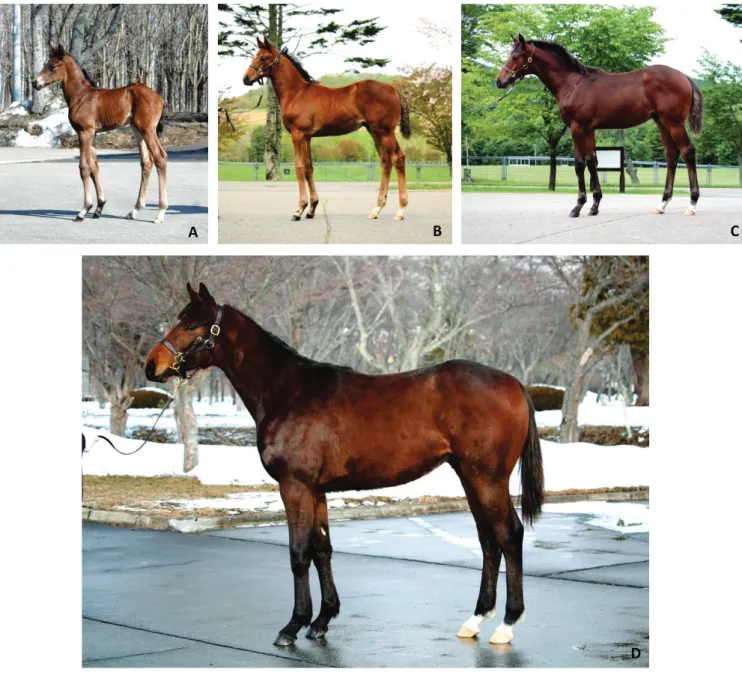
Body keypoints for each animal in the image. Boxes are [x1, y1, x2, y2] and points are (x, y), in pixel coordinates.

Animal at [32, 43, 168, 223]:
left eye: (52, 66)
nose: (35, 82)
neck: (81, 95)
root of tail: (159, 98)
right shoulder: (93, 134)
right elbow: (94, 167)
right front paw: (99, 207)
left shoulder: (84, 132)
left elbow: (84, 167)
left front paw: (84, 210)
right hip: (137, 130)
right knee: (146, 162)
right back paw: (134, 210)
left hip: (148, 129)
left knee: (160, 157)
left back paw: (160, 212)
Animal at [145, 282, 545, 647]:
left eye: (191, 325)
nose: (151, 366)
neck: (287, 391)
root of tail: (514, 383)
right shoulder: (316, 490)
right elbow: (322, 550)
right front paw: (321, 621)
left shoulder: (295, 486)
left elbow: (299, 553)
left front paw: (293, 625)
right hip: (468, 476)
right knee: (488, 540)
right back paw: (475, 619)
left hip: (487, 478)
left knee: (509, 535)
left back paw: (507, 624)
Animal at [243, 36, 412, 221]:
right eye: (255, 55)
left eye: (263, 57)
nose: (246, 79)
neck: (296, 93)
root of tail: (394, 89)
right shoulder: (307, 137)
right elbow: (309, 167)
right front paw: (311, 209)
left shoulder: (298, 134)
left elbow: (299, 167)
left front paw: (299, 209)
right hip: (375, 132)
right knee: (386, 161)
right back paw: (376, 209)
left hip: (385, 131)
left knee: (398, 158)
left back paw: (400, 211)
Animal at [497, 35, 703, 218]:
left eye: (515, 57)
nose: (499, 81)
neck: (573, 83)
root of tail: (684, 77)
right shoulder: (589, 129)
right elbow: (591, 161)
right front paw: (594, 205)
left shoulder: (577, 127)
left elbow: (579, 163)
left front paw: (578, 206)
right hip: (661, 122)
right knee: (671, 155)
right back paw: (662, 204)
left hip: (673, 122)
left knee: (687, 151)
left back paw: (692, 204)